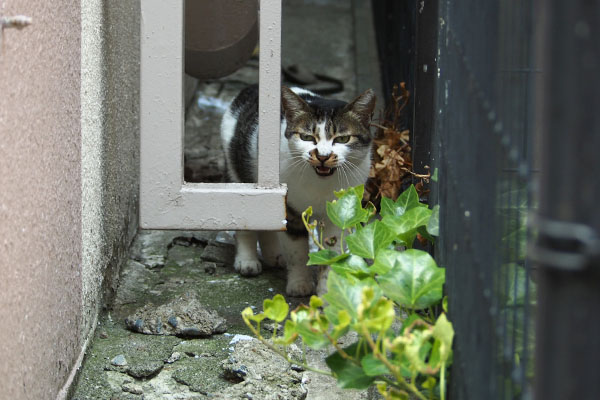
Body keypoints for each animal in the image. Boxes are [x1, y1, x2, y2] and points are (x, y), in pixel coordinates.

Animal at [220, 85, 376, 296]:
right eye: (307, 137)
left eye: (343, 139)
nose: (323, 156)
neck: (320, 186)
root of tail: (250, 88)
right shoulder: (291, 211)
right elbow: (297, 253)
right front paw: (299, 284)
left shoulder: (340, 216)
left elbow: (332, 255)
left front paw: (327, 293)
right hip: (238, 174)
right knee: (246, 222)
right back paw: (247, 261)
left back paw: (274, 256)